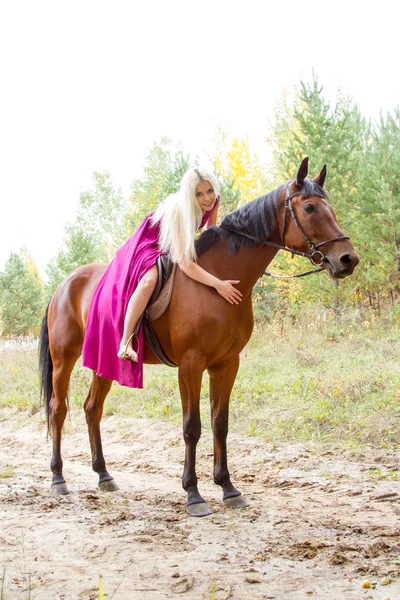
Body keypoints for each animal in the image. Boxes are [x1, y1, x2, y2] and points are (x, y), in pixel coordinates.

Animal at [39, 158, 360, 516]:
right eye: (309, 208)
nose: (348, 259)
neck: (217, 281)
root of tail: (64, 285)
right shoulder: (190, 364)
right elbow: (192, 426)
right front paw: (193, 494)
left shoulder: (227, 364)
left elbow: (220, 422)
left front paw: (228, 488)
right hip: (63, 358)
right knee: (58, 409)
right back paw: (58, 478)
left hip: (103, 360)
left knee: (92, 408)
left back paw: (103, 475)